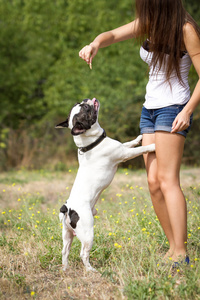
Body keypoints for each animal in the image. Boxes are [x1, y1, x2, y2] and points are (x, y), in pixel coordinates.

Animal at [55, 98, 155, 272]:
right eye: (85, 108)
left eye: (80, 104)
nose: (86, 99)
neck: (91, 143)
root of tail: (67, 208)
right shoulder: (124, 154)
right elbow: (139, 150)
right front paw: (152, 146)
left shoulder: (121, 147)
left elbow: (129, 143)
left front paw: (138, 137)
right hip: (88, 232)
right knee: (83, 253)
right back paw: (91, 270)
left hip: (67, 234)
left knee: (65, 251)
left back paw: (65, 269)